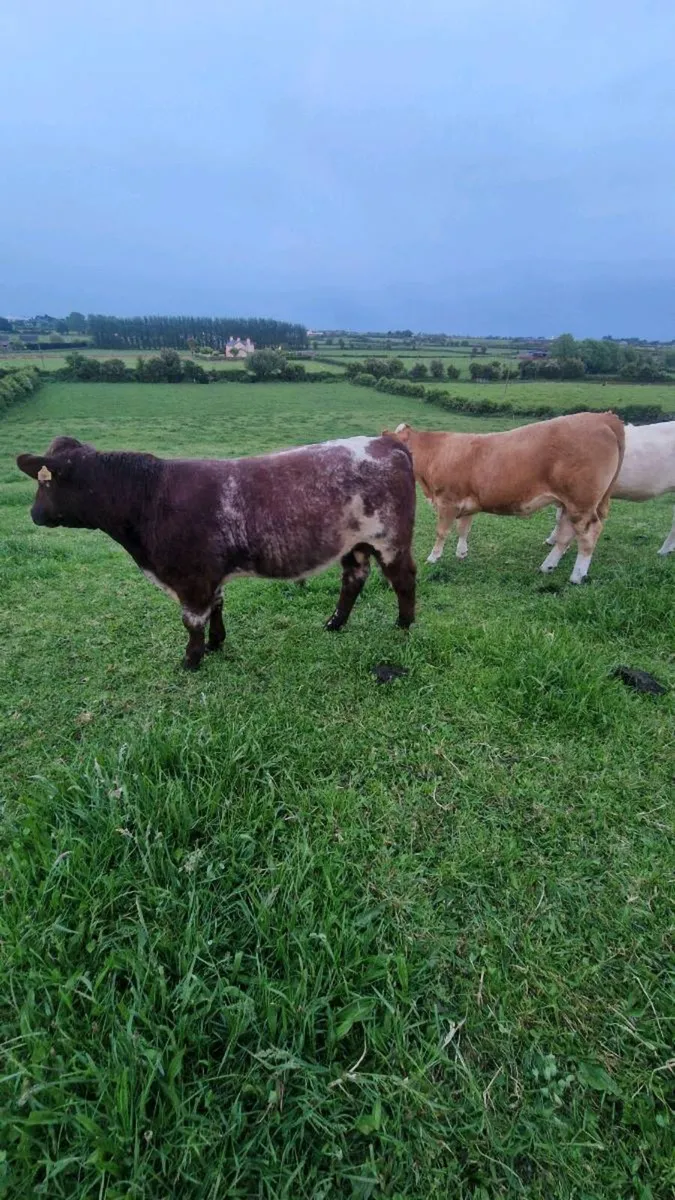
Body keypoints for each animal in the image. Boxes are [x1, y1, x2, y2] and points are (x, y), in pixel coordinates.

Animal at [16, 435, 417, 670]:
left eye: (44, 483)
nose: (34, 514)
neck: (149, 497)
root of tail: (386, 440)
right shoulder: (210, 574)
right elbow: (217, 607)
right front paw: (216, 643)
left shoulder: (190, 578)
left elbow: (193, 620)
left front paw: (191, 659)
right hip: (355, 544)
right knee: (354, 578)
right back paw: (335, 623)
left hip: (390, 540)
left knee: (404, 579)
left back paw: (404, 623)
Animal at [383, 412, 624, 584]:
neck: (435, 454)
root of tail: (602, 418)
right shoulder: (467, 503)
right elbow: (464, 529)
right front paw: (461, 553)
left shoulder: (447, 501)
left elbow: (442, 531)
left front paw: (434, 557)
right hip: (569, 505)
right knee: (565, 535)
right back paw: (547, 566)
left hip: (581, 504)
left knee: (589, 534)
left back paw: (577, 576)